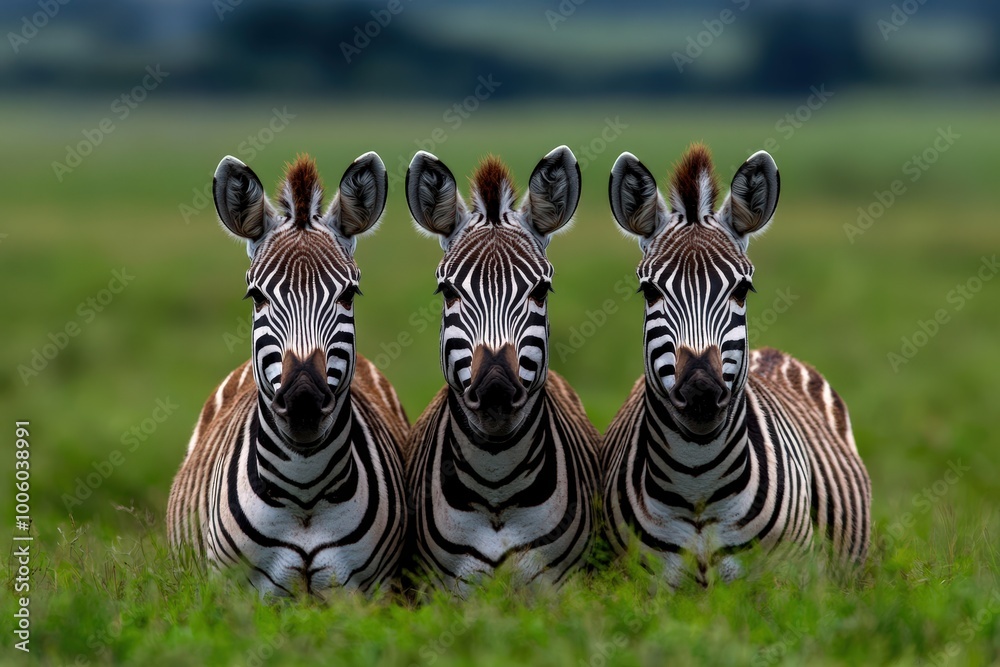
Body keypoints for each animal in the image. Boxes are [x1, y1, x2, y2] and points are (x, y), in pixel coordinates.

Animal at [167, 152, 409, 597]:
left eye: (349, 294)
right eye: (256, 296)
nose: (303, 400)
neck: (305, 492)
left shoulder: (370, 592)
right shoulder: (236, 592)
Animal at [602, 144, 871, 586]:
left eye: (742, 289)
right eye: (649, 290)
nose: (700, 392)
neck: (696, 481)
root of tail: (772, 353)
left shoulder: (784, 581)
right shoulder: (641, 584)